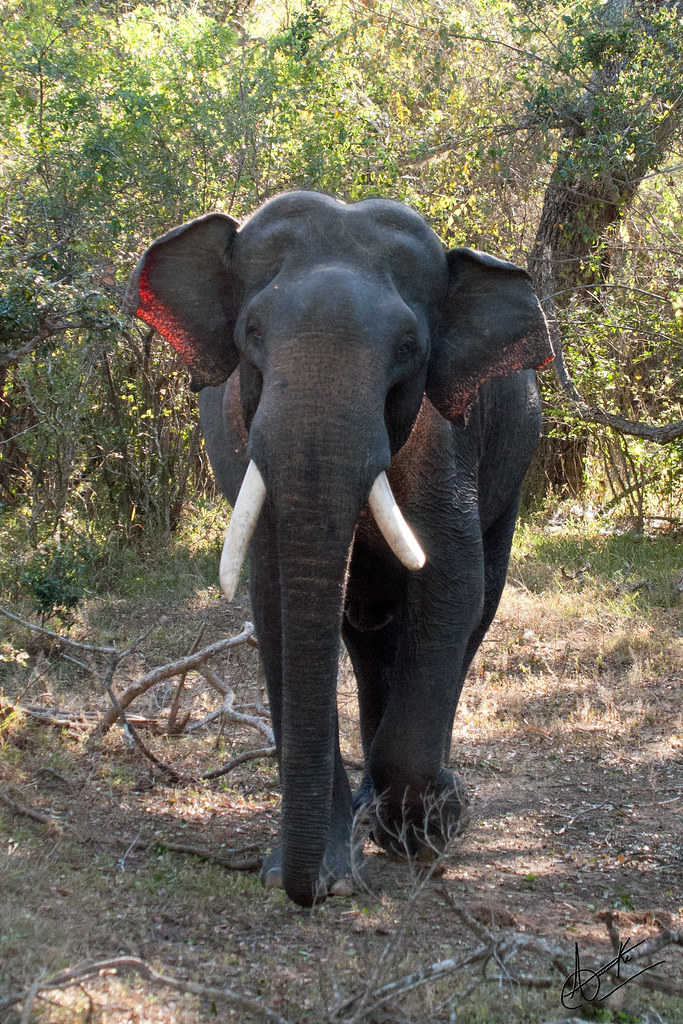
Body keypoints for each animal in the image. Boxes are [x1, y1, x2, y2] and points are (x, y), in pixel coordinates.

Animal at [124, 190, 553, 908]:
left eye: (409, 346)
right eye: (252, 332)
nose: (303, 895)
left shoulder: (444, 445)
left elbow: (451, 583)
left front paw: (426, 832)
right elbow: (274, 600)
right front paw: (323, 872)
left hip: (514, 466)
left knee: (476, 605)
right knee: (366, 632)